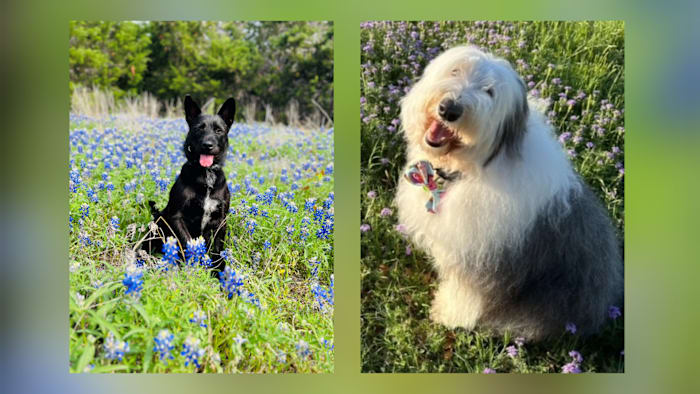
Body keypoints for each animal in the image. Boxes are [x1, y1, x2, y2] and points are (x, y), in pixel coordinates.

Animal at [148, 96, 235, 272]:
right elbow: (189, 243)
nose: (208, 145)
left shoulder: (220, 220)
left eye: (218, 130)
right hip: (158, 224)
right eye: (199, 129)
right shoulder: (177, 216)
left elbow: (218, 250)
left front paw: (219, 271)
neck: (206, 174)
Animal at [396, 46, 620, 340]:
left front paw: (447, 314)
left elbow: (465, 294)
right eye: (455, 71)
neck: (474, 166)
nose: (449, 109)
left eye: (489, 92)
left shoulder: (483, 260)